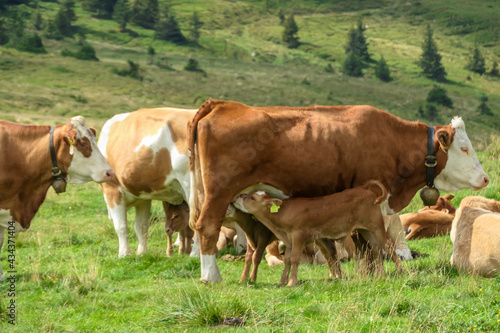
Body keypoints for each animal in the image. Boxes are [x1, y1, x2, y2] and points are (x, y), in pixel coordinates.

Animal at [235, 179, 406, 286]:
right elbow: (288, 260)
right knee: (376, 248)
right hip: (366, 230)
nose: (237, 197)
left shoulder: (299, 235)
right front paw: (282, 282)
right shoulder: (289, 240)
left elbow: (295, 259)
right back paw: (380, 274)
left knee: (389, 245)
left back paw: (401, 271)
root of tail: (363, 189)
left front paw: (291, 282)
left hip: (377, 226)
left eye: (252, 198)